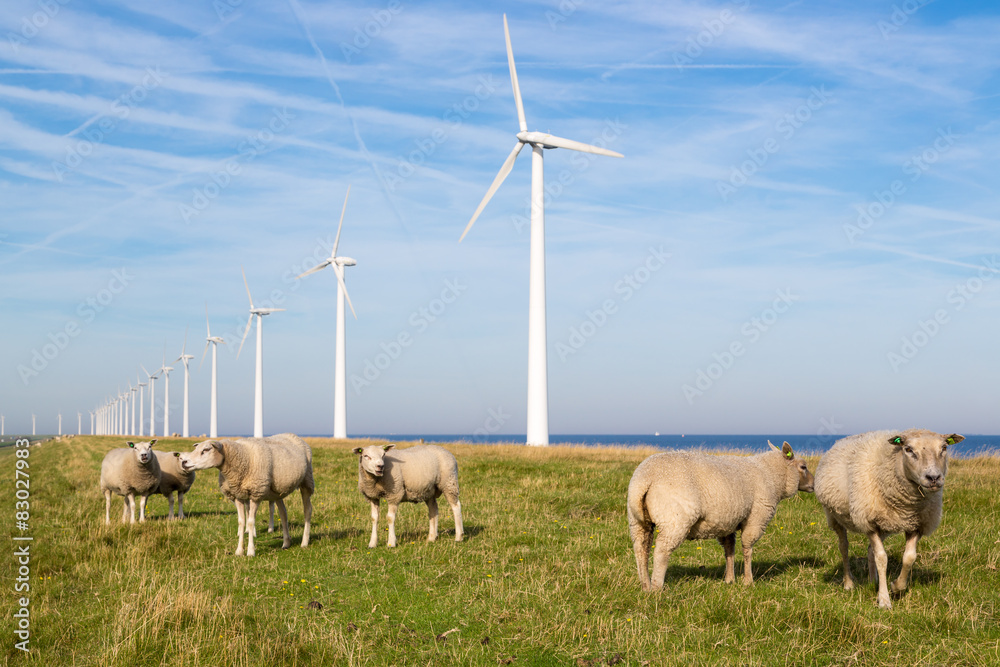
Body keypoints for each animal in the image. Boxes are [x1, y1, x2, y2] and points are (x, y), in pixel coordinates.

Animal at [178, 434, 312, 560]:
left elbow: (251, 522)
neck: (241, 456)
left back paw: (304, 542)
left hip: (307, 481)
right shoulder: (237, 496)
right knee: (283, 513)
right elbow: (241, 522)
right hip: (277, 491)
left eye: (206, 450)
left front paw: (251, 551)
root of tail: (293, 435)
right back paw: (286, 543)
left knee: (307, 510)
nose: (184, 462)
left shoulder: (256, 494)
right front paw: (239, 551)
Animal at [628, 444, 816, 588]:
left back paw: (645, 586)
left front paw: (729, 579)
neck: (770, 475)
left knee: (641, 550)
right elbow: (747, 549)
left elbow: (729, 549)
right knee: (661, 551)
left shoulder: (728, 521)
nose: (814, 485)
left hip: (637, 521)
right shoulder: (756, 518)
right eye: (803, 467)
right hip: (675, 519)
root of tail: (645, 479)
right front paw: (748, 581)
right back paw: (657, 589)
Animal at [816, 428, 964, 612]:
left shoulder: (917, 525)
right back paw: (849, 583)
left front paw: (896, 587)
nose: (934, 478)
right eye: (908, 449)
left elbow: (909, 558)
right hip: (834, 516)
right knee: (844, 547)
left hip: (885, 526)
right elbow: (882, 558)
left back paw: (873, 581)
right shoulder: (869, 523)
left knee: (870, 550)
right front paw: (884, 600)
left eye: (944, 448)